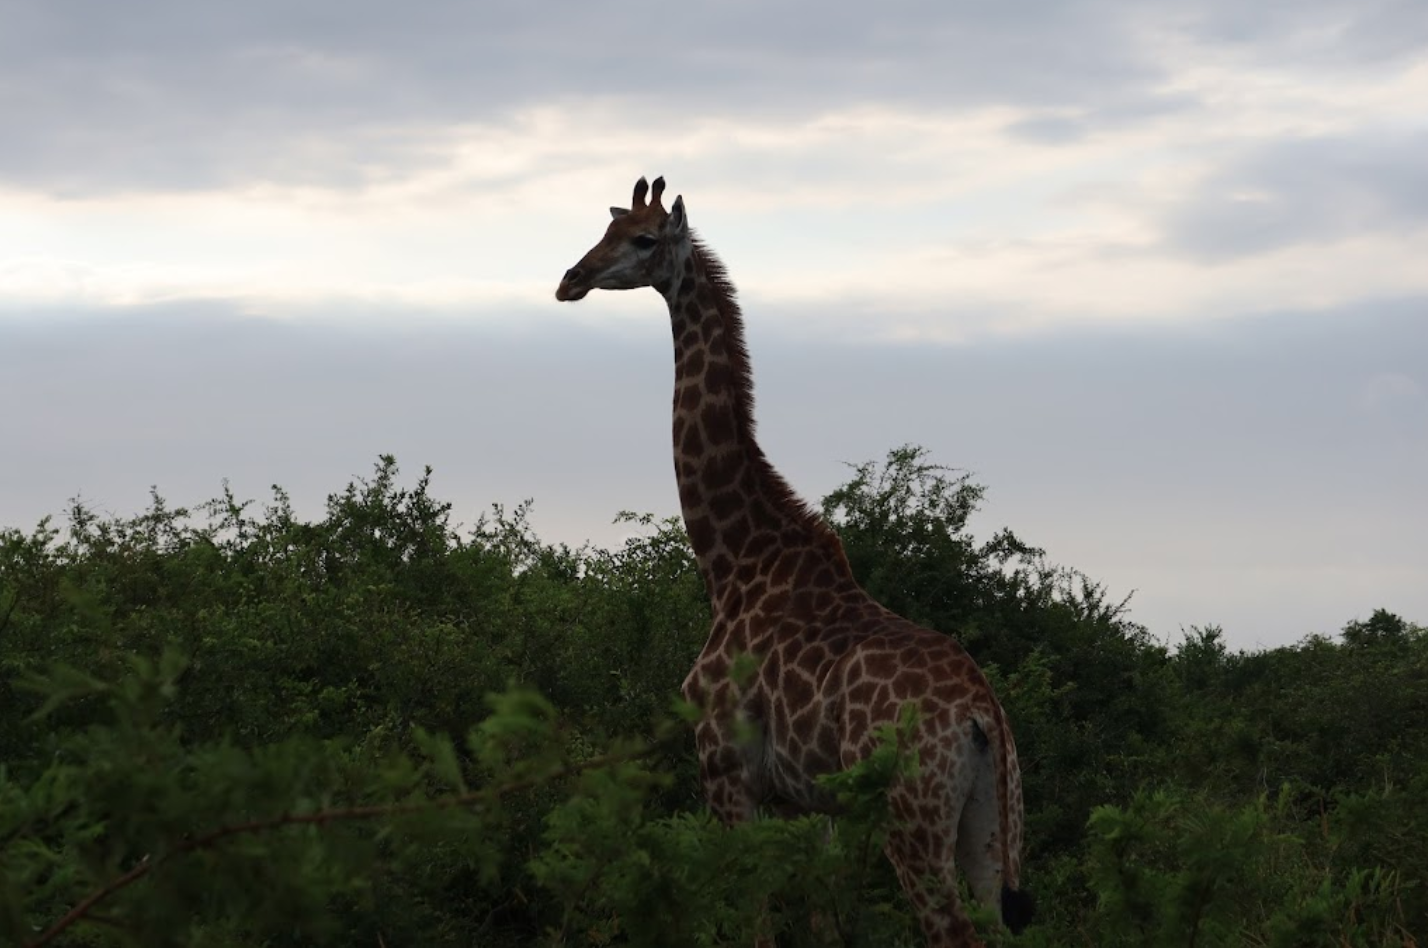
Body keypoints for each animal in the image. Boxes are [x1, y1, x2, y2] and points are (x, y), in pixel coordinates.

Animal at [555, 177, 1032, 947]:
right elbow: (820, 916)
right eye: (607, 229)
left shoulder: (726, 770)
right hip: (990, 825)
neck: (734, 560)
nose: (570, 279)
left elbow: (755, 916)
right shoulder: (809, 801)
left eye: (644, 240)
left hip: (912, 819)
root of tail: (984, 715)